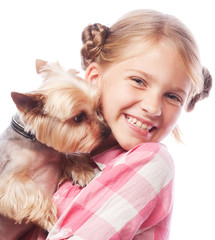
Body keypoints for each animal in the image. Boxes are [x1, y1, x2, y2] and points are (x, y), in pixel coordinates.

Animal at [0, 59, 110, 238]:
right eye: (78, 117)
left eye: (97, 107)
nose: (107, 132)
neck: (36, 144)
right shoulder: (8, 181)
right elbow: (37, 196)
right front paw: (51, 221)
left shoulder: (56, 155)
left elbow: (67, 155)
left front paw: (82, 172)